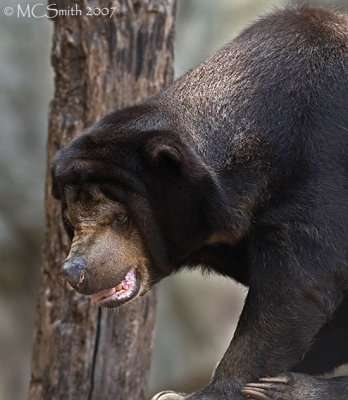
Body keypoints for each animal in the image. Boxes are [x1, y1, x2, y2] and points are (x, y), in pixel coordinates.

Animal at [51, 6, 348, 400]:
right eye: (72, 221)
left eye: (120, 218)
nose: (74, 271)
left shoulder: (323, 163)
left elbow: (297, 284)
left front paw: (214, 389)